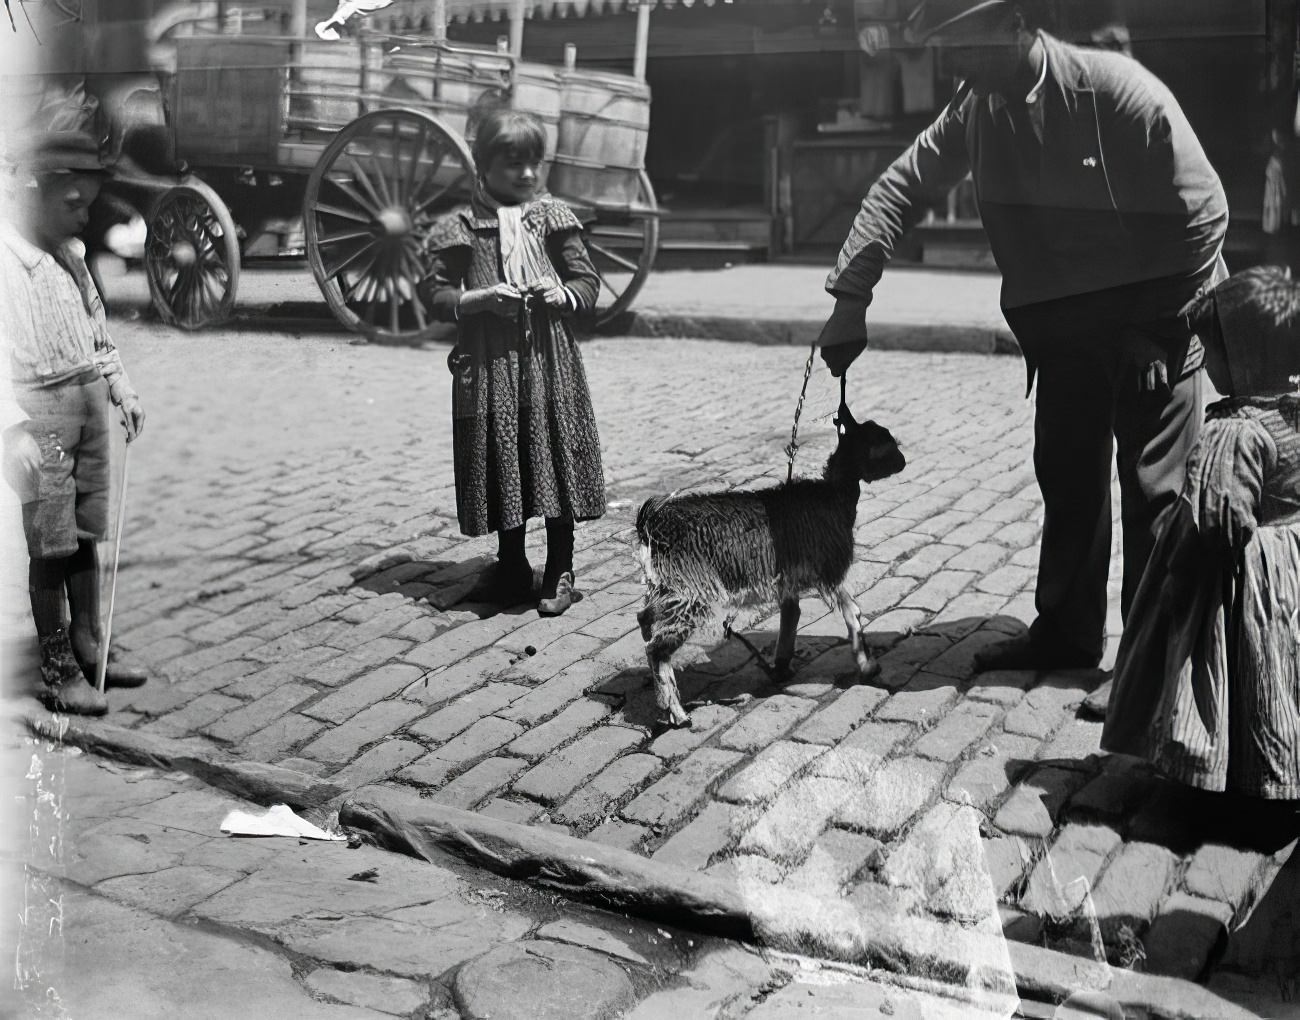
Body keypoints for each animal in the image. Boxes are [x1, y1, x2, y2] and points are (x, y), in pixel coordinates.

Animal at [637, 402, 904, 727]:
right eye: (884, 442)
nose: (903, 461)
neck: (833, 493)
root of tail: (652, 524)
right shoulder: (829, 569)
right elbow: (852, 612)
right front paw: (868, 666)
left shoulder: (789, 580)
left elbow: (791, 618)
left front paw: (780, 668)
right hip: (692, 590)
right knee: (657, 648)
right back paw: (677, 711)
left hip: (670, 587)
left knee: (644, 618)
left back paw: (661, 694)